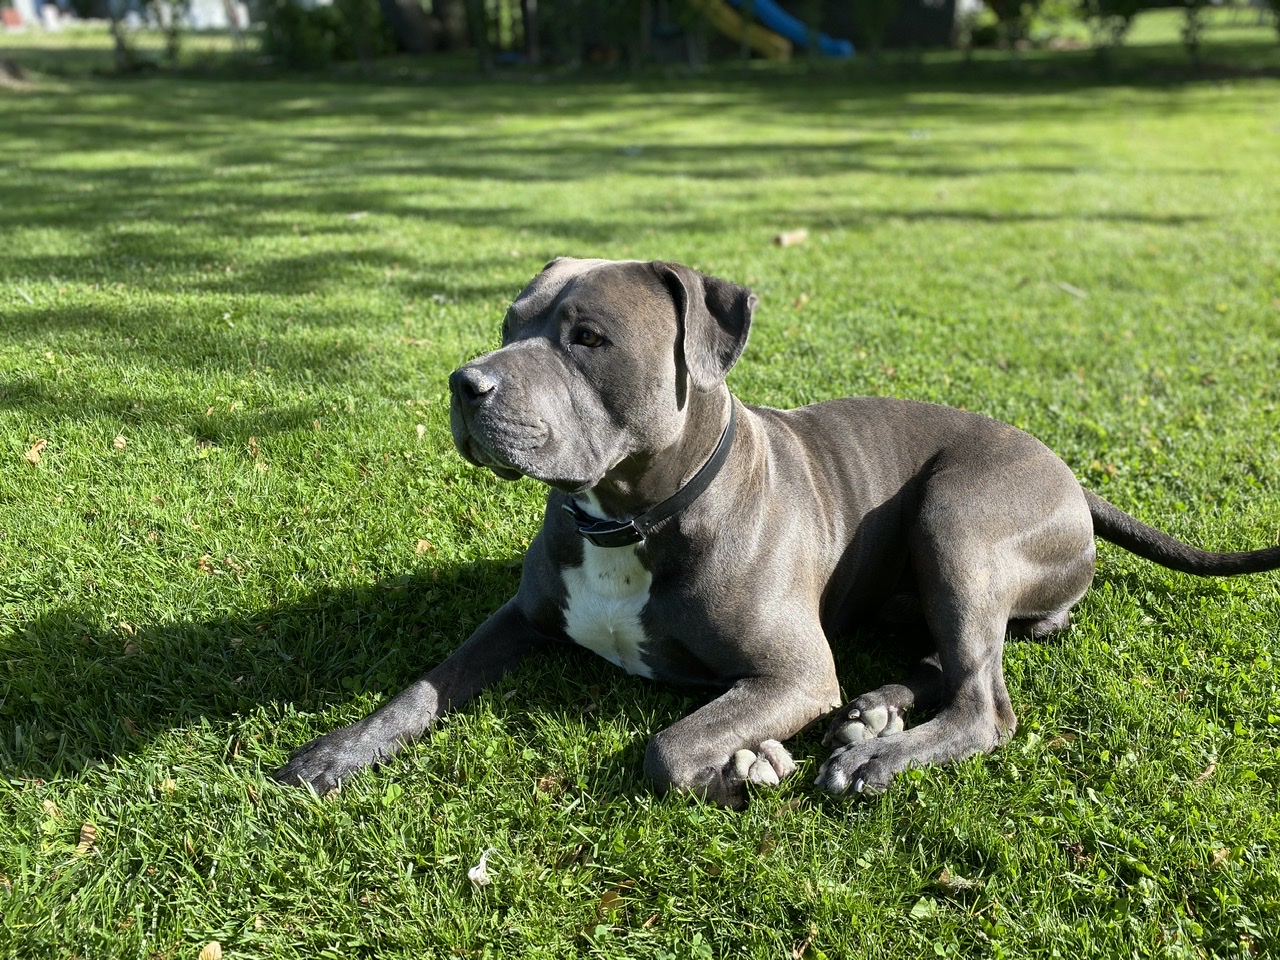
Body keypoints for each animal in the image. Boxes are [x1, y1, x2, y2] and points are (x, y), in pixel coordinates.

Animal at [275, 257, 1280, 805]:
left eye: (587, 338)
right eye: (509, 321)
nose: (465, 383)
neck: (630, 516)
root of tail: (1073, 476)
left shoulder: (791, 674)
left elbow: (669, 747)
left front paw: (743, 768)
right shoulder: (519, 618)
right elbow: (422, 687)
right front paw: (333, 753)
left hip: (956, 517)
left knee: (985, 702)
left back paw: (874, 756)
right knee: (958, 660)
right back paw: (876, 710)